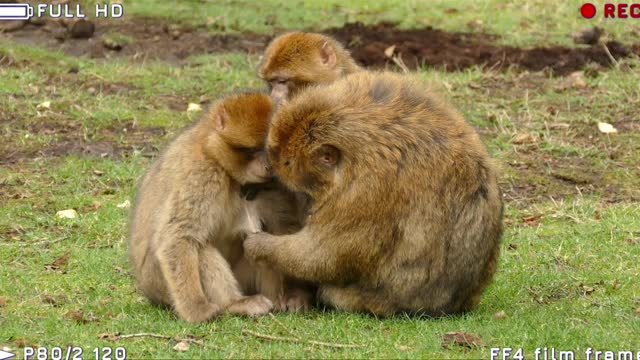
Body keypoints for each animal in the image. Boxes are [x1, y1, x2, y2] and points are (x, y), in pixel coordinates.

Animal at [129, 93, 304, 324]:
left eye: (269, 150)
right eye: (251, 150)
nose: (268, 166)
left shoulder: (274, 184)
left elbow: (283, 228)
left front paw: (295, 293)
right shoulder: (201, 174)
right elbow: (178, 237)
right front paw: (196, 309)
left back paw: (277, 299)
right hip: (159, 284)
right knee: (201, 248)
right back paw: (235, 304)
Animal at [242, 71, 502, 316]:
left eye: (287, 163)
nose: (273, 168)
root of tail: (457, 304)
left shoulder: (364, 192)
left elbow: (325, 256)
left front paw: (261, 246)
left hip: (381, 301)